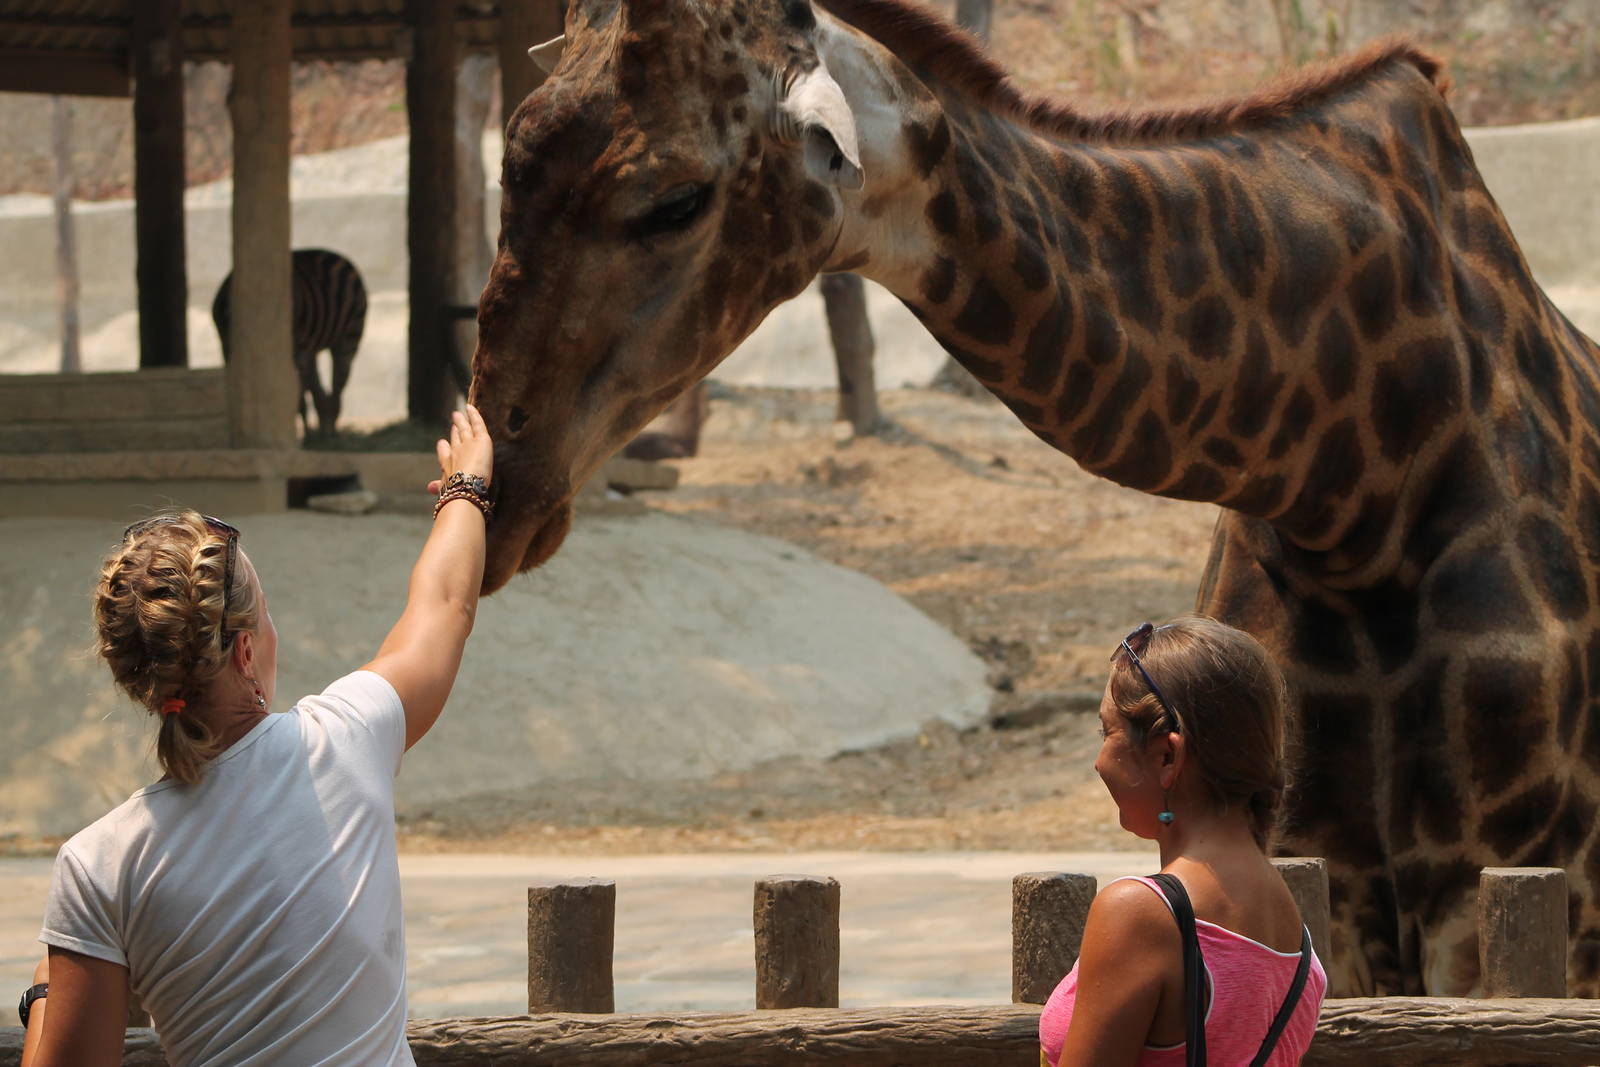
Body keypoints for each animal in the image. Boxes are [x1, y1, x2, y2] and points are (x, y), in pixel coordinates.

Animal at [469, 0, 1600, 997]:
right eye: (509, 168)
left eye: (676, 199)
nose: (504, 493)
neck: (1353, 477)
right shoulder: (1316, 859)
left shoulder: (1510, 875)